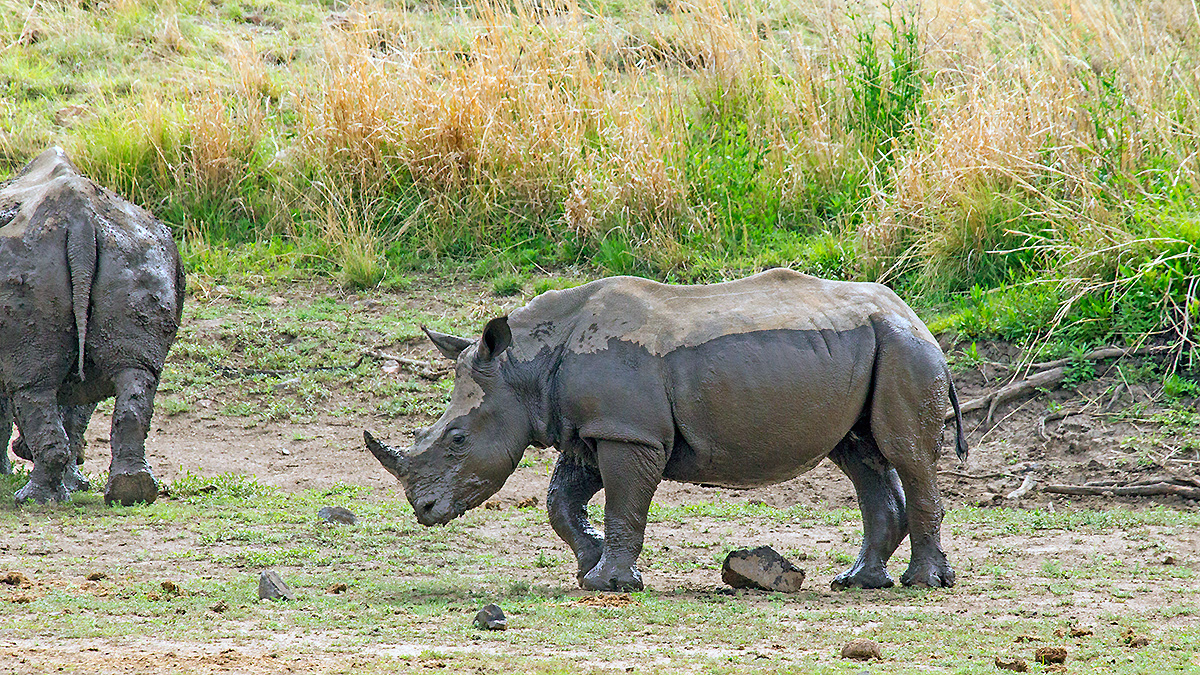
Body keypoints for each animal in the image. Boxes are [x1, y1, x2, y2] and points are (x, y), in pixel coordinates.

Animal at [0, 147, 184, 506]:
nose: (21, 449)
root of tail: (81, 222)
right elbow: (76, 411)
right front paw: (76, 482)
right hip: (137, 251)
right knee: (135, 374)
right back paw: (132, 492)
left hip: (26, 261)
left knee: (32, 386)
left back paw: (31, 499)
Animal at [366, 269, 967, 591]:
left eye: (458, 441)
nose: (423, 510)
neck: (523, 368)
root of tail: (916, 316)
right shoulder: (594, 429)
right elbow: (562, 502)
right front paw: (589, 567)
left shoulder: (630, 433)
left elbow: (623, 503)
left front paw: (610, 583)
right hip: (867, 346)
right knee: (862, 455)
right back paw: (857, 581)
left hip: (905, 348)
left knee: (907, 455)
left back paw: (921, 584)